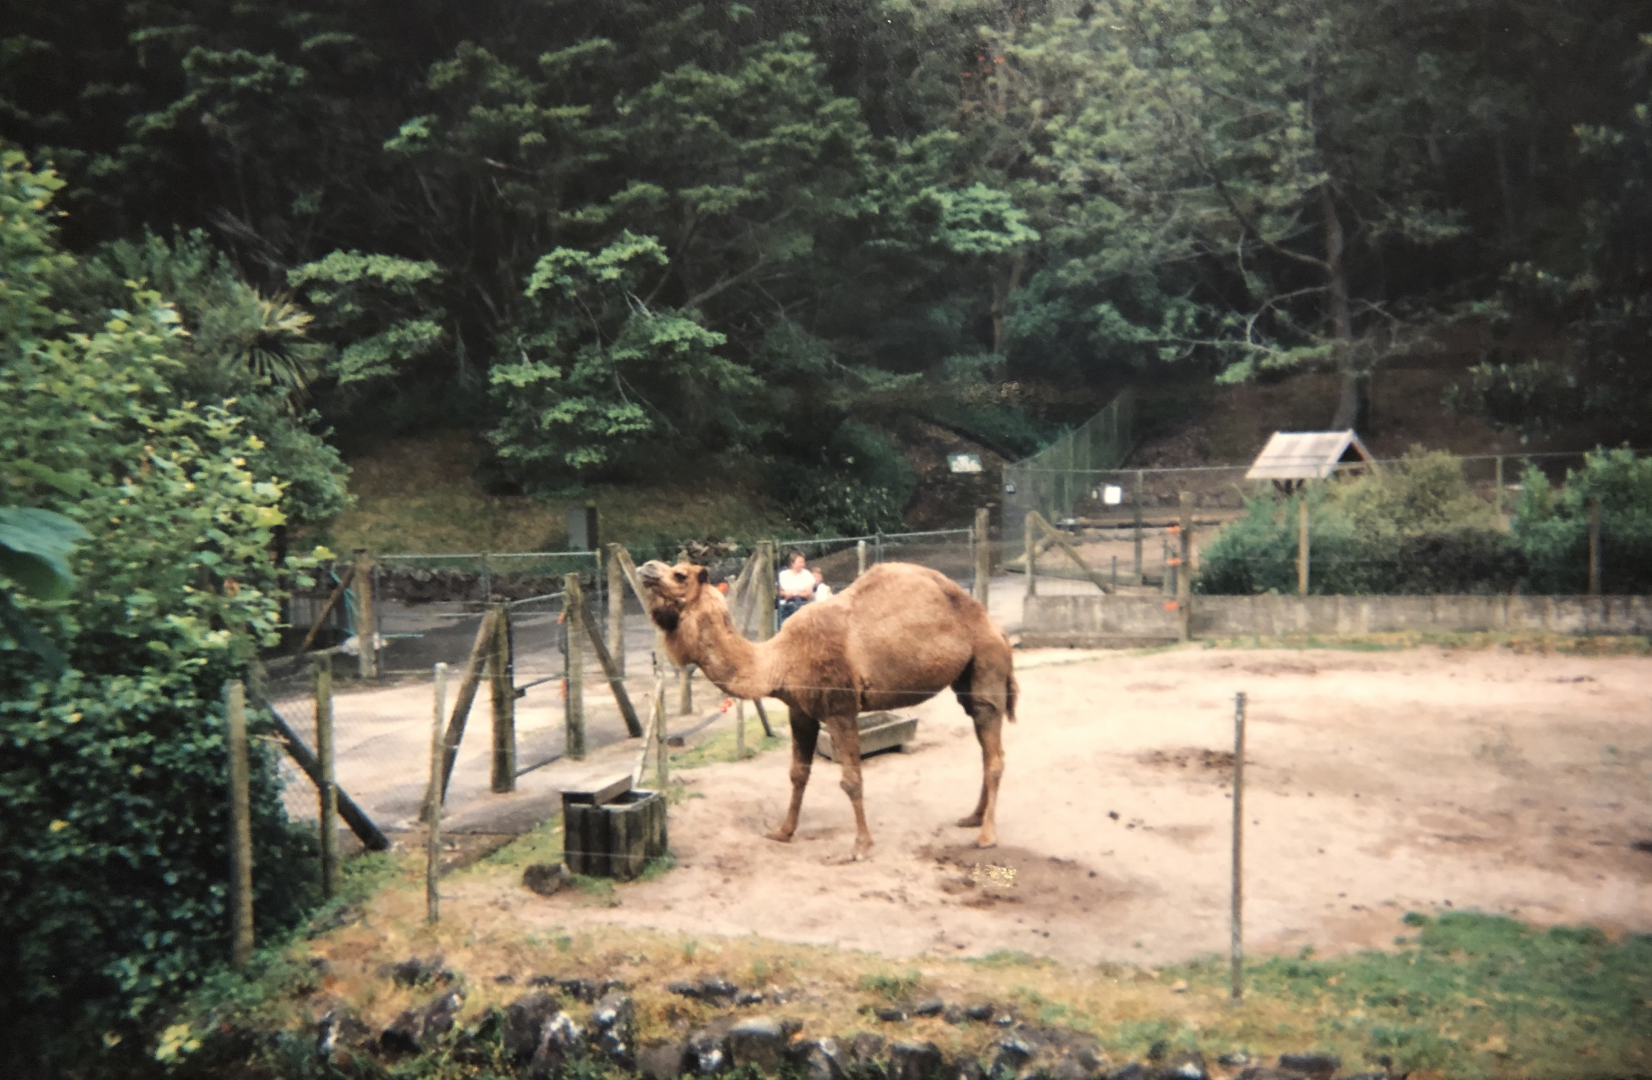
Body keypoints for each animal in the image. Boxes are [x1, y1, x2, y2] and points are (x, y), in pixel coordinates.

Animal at [637, 559, 1017, 859]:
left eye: (680, 574)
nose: (647, 568)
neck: (779, 659)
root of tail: (995, 627)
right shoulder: (800, 711)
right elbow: (797, 773)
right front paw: (783, 831)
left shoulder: (840, 708)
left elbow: (851, 779)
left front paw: (861, 846)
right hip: (965, 679)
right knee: (985, 748)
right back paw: (972, 818)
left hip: (987, 663)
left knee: (995, 751)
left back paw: (986, 836)